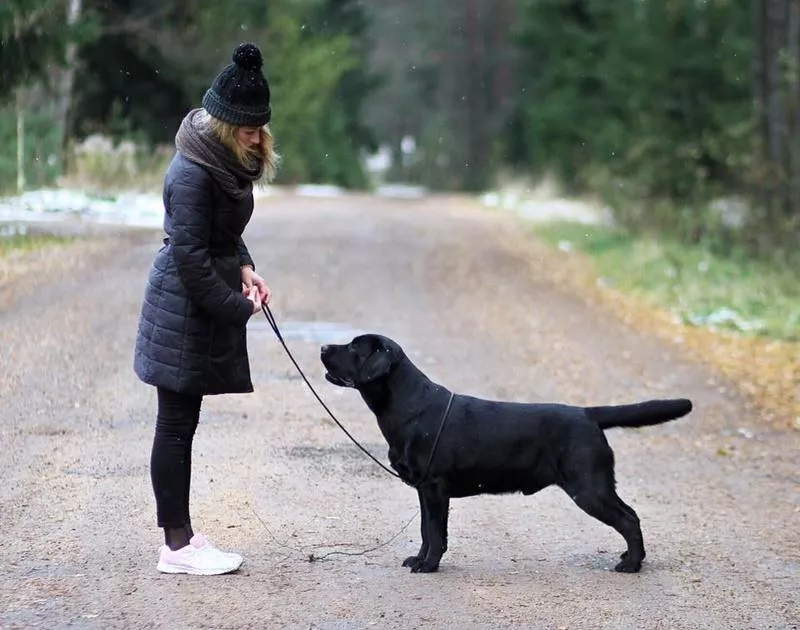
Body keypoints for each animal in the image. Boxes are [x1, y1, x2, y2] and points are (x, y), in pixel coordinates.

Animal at [320, 336, 692, 576]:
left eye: (353, 347)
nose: (323, 347)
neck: (408, 405)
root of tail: (588, 414)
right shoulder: (425, 491)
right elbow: (426, 531)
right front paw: (418, 559)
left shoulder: (435, 488)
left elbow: (436, 533)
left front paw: (429, 566)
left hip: (588, 487)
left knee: (629, 519)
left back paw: (631, 564)